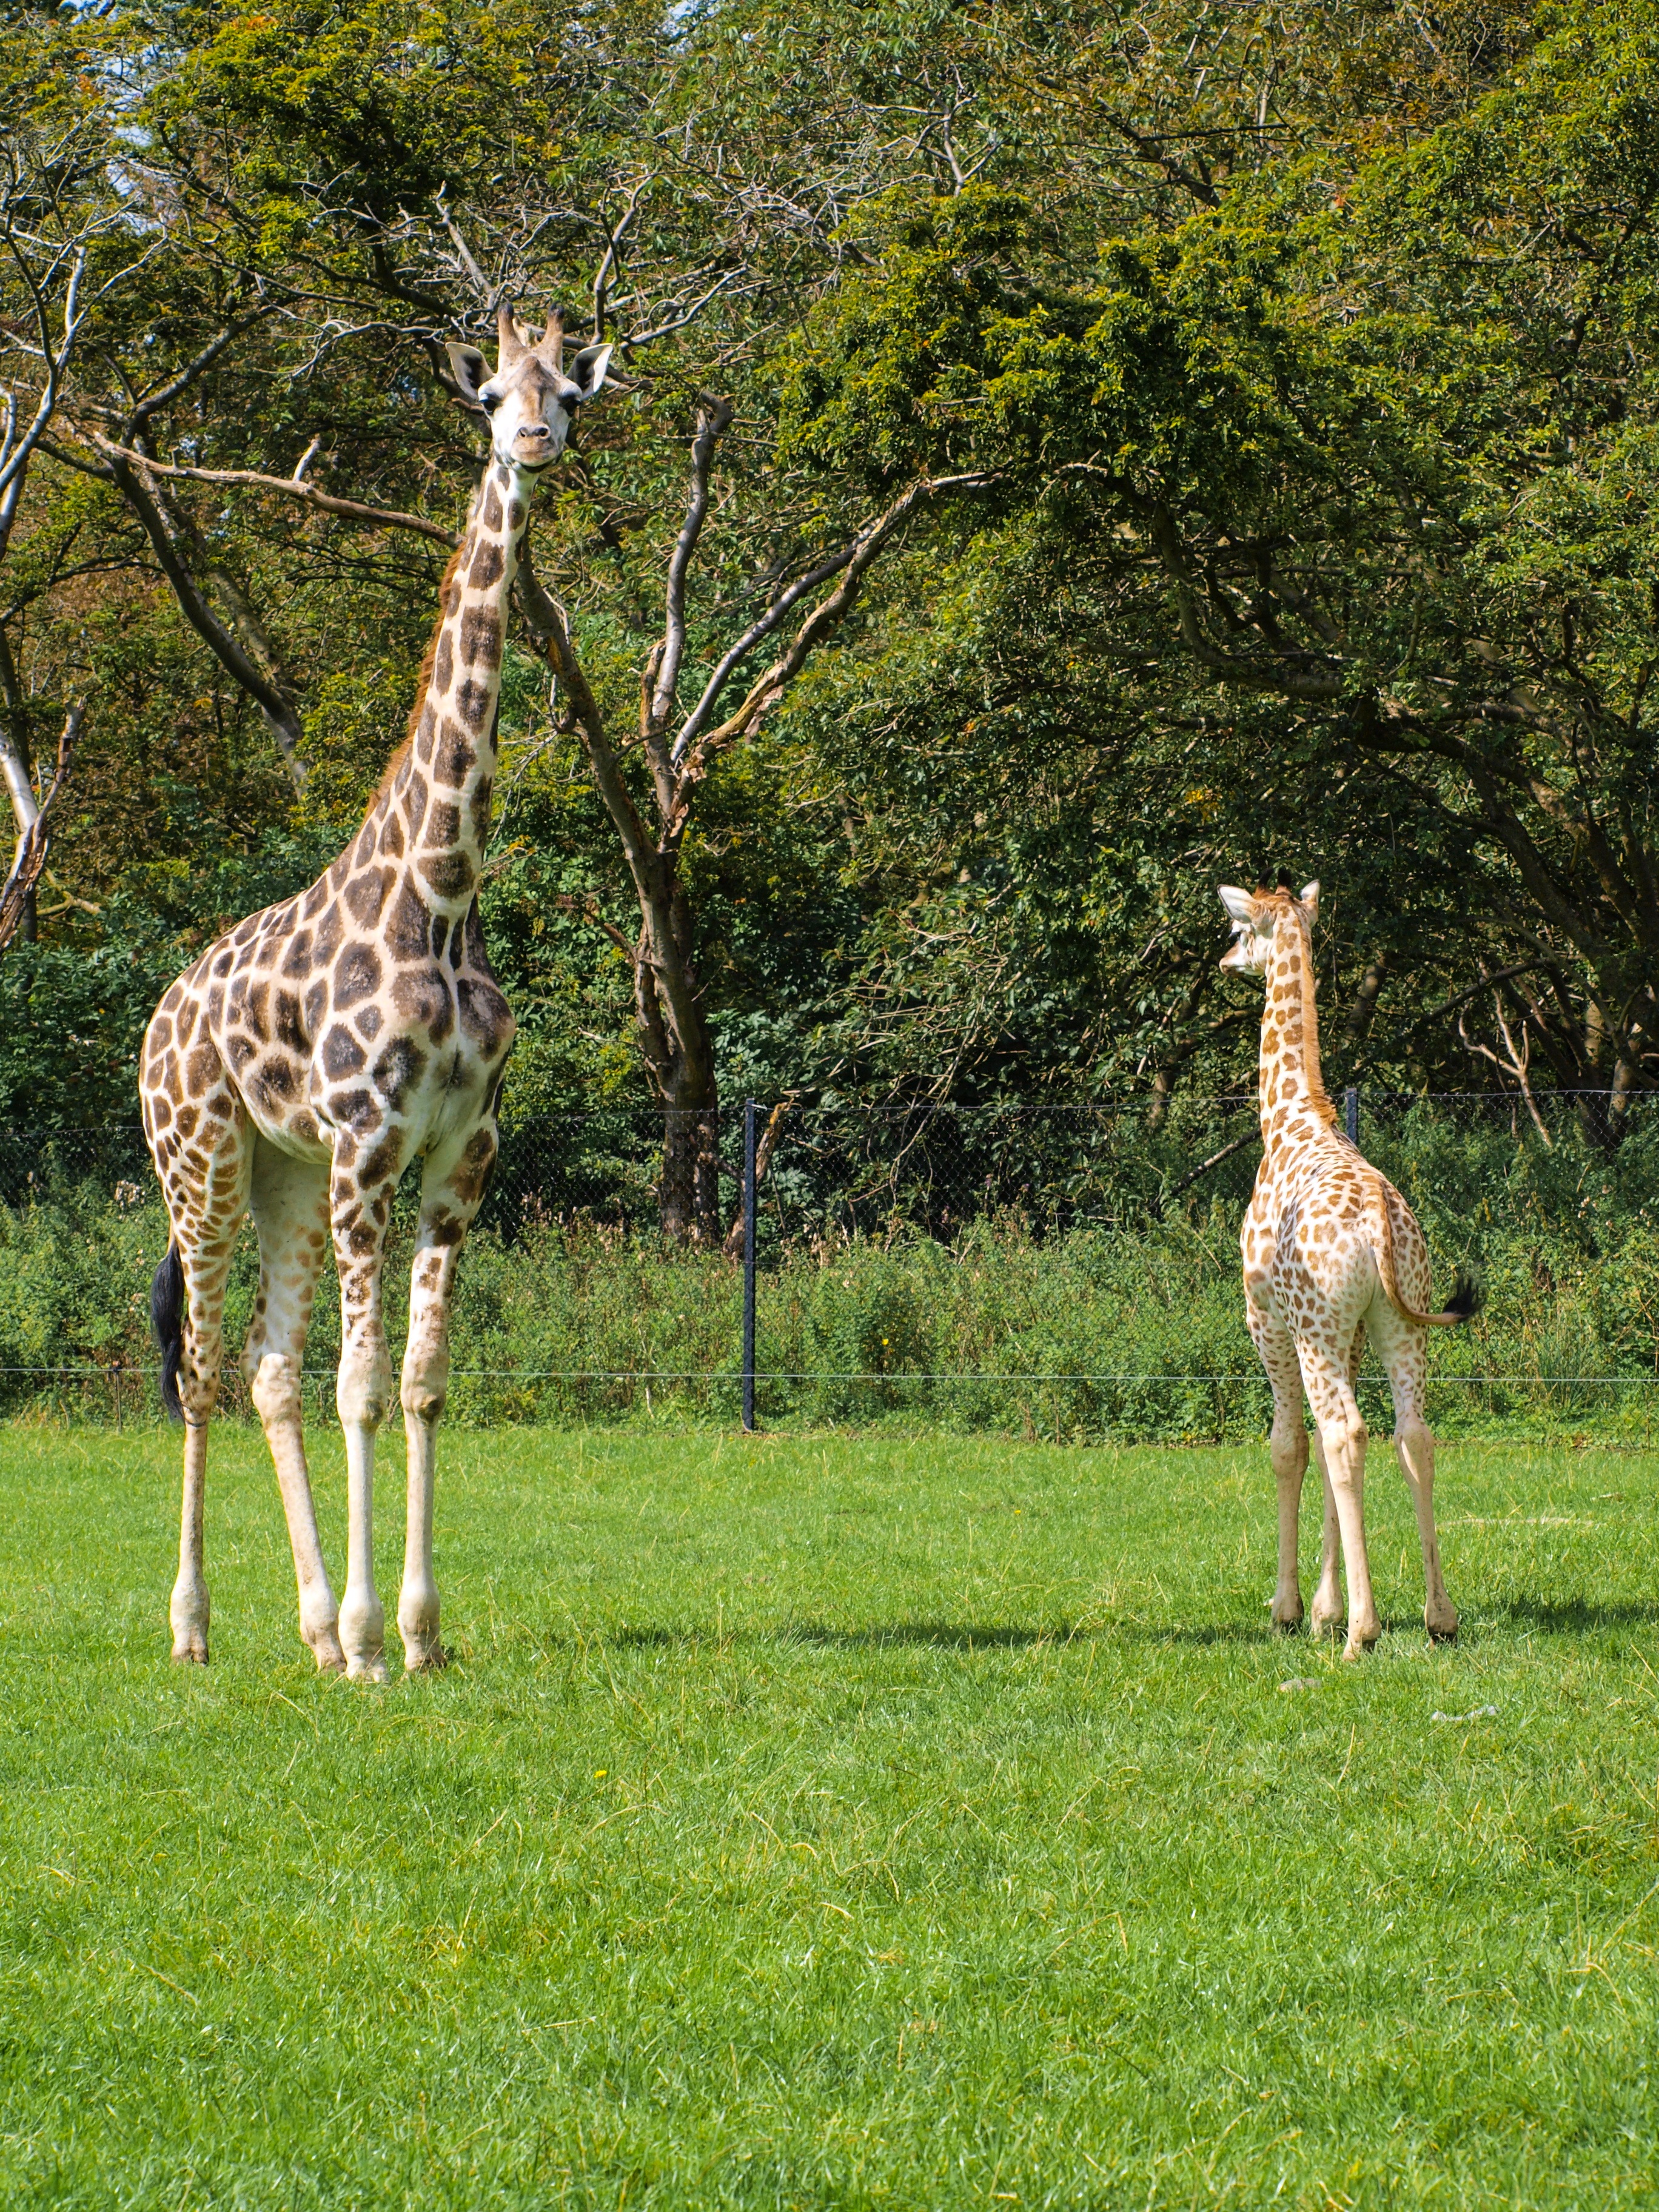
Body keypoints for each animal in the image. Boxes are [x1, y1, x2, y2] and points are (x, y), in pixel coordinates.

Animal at [141, 298, 610, 1672]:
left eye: (571, 389)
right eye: (490, 393)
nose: (532, 441)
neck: (442, 897)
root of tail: (156, 1018)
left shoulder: (459, 1156)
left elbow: (417, 1383)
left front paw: (414, 1632)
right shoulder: (368, 1145)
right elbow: (358, 1385)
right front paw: (370, 1634)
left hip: (285, 1172)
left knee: (264, 1366)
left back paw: (305, 1627)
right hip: (202, 1161)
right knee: (201, 1365)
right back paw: (194, 1626)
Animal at [1221, 880, 1477, 1663]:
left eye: (1239, 930)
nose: (1224, 962)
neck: (1290, 1117)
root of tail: (1374, 1224)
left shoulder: (1268, 1320)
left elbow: (1288, 1445)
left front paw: (1292, 1610)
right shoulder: (1354, 1329)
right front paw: (1326, 1608)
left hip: (1315, 1329)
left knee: (1342, 1434)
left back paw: (1363, 1635)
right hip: (1402, 1319)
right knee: (1411, 1434)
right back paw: (1438, 1616)